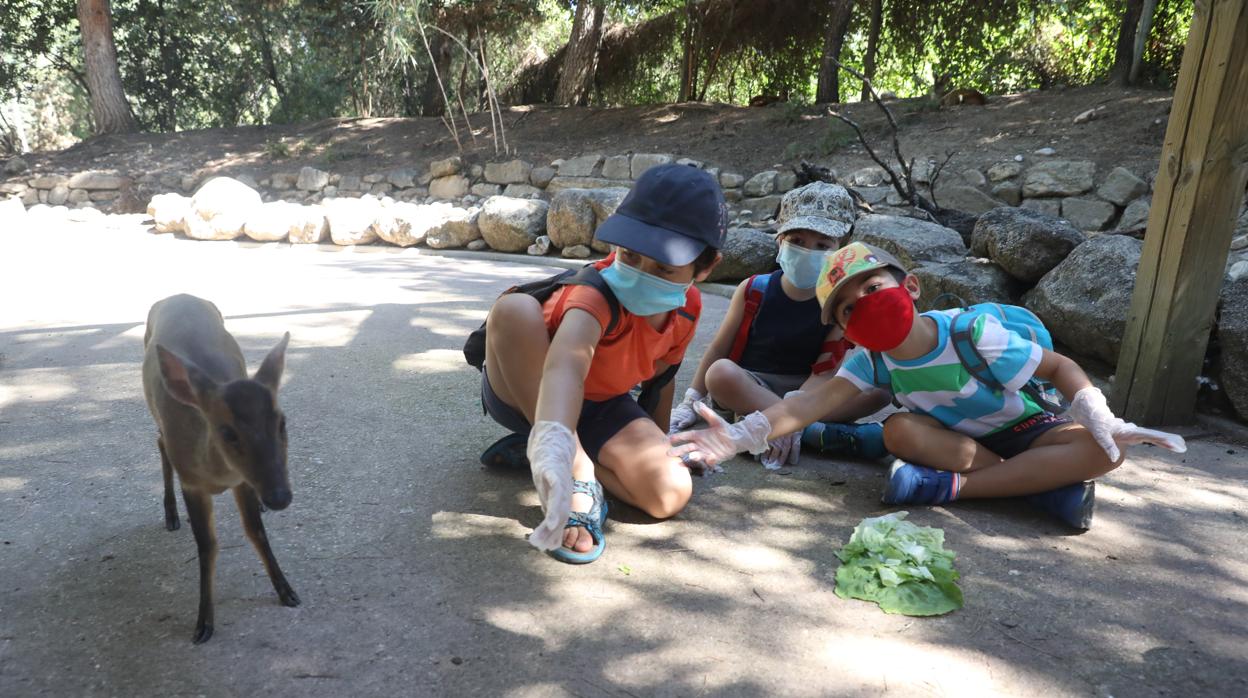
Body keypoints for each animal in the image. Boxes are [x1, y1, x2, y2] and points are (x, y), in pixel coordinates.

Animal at [141, 294, 299, 644]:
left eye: (282, 423)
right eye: (227, 432)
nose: (279, 497)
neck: (219, 477)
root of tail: (178, 295)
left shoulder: (242, 481)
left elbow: (256, 532)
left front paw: (287, 590)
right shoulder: (191, 482)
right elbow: (207, 546)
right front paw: (203, 624)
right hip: (157, 417)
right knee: (159, 443)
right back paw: (171, 515)